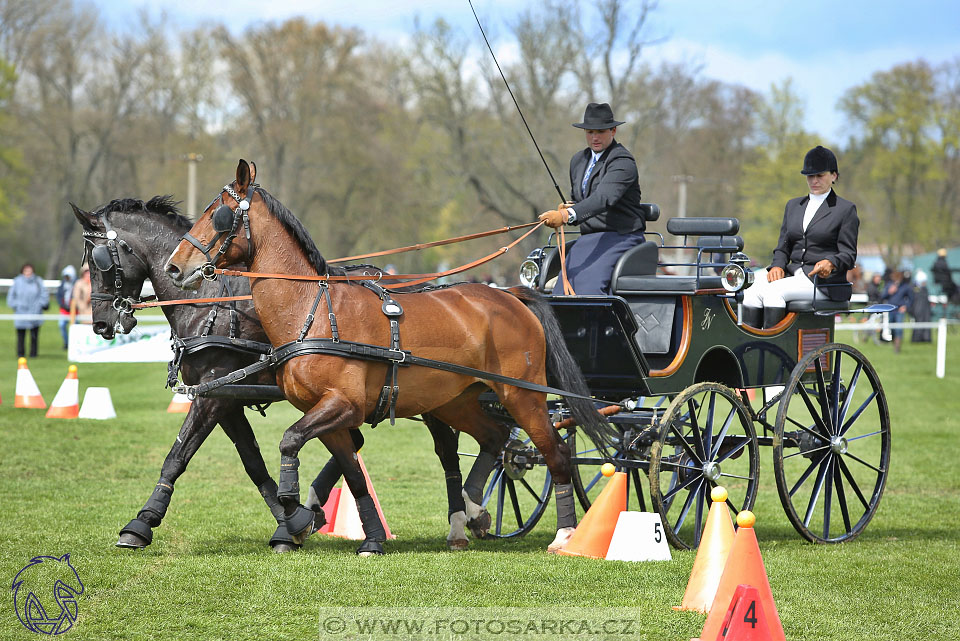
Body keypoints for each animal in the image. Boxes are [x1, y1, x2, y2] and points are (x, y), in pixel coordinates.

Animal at [71, 198, 484, 552]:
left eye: (99, 260)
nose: (101, 324)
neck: (212, 303)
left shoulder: (213, 397)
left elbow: (178, 455)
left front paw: (141, 523)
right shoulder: (224, 398)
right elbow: (253, 463)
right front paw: (291, 522)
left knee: (446, 452)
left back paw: (461, 522)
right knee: (357, 442)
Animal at [165, 160, 616, 556]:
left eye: (217, 215)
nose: (174, 267)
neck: (312, 309)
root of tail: (510, 295)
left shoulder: (343, 405)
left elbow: (289, 441)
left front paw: (295, 512)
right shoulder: (326, 414)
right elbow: (352, 475)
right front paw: (369, 539)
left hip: (522, 395)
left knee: (555, 452)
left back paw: (564, 534)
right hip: (456, 399)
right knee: (494, 437)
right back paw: (471, 514)